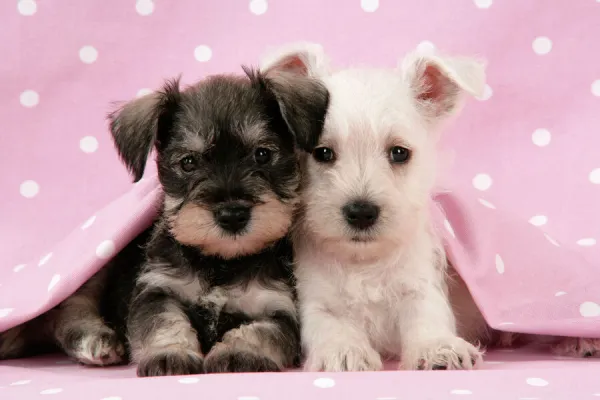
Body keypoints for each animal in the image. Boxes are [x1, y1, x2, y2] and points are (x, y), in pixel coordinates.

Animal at [0, 64, 328, 376]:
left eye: (262, 154)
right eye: (188, 162)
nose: (232, 215)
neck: (220, 261)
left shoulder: (277, 307)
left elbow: (262, 332)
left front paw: (240, 352)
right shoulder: (157, 290)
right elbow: (164, 322)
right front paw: (170, 354)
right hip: (97, 269)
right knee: (68, 312)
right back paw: (96, 340)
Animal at [262, 43, 488, 372]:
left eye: (399, 153)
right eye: (323, 153)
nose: (361, 213)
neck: (363, 262)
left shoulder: (420, 286)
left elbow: (428, 317)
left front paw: (438, 347)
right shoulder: (314, 301)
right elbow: (331, 325)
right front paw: (344, 351)